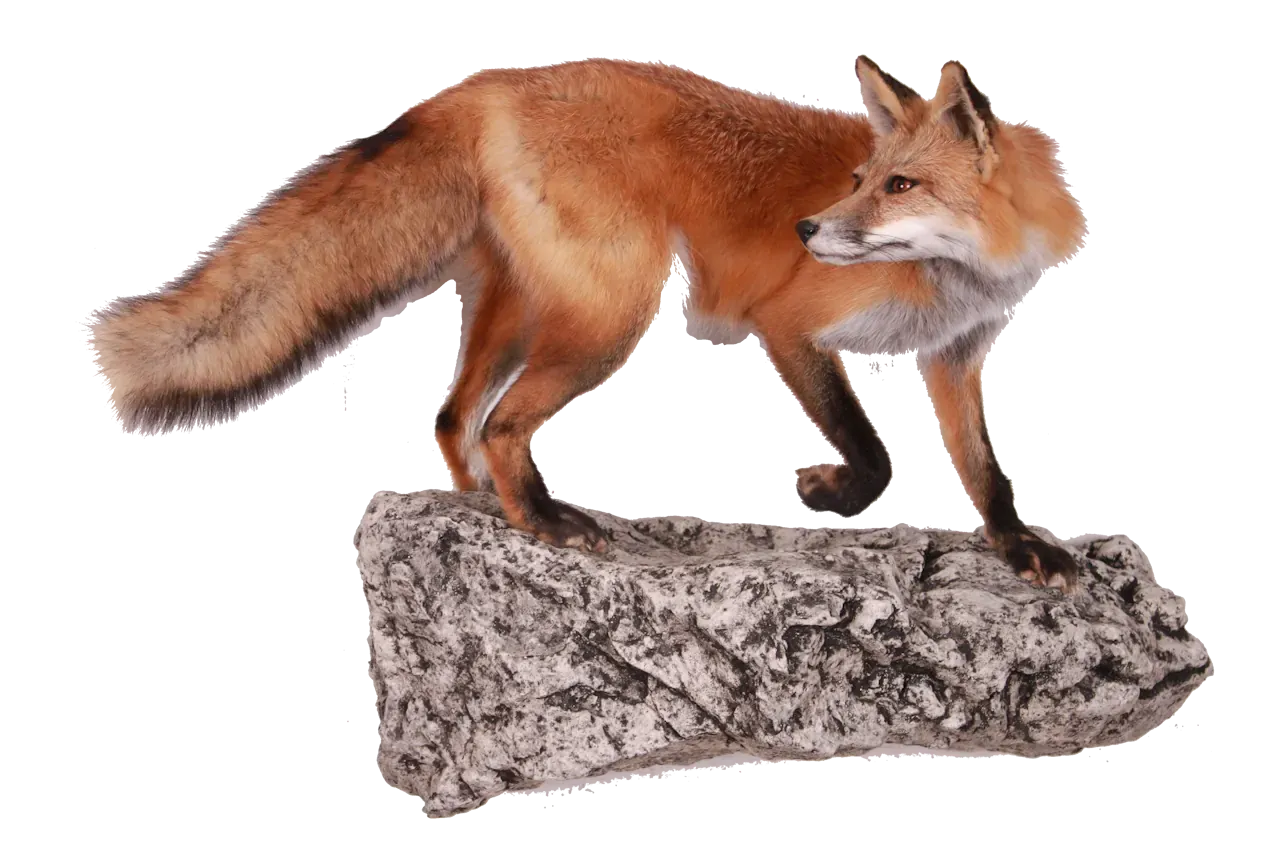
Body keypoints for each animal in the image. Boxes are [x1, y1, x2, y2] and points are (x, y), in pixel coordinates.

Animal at [86, 56, 1088, 592]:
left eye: (898, 184)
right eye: (860, 182)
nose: (808, 231)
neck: (960, 277)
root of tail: (480, 85)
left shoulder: (954, 357)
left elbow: (986, 475)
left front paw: (1023, 550)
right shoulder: (790, 323)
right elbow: (873, 452)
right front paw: (830, 490)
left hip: (524, 313)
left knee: (455, 418)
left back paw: (487, 510)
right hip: (609, 316)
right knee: (498, 424)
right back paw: (542, 521)